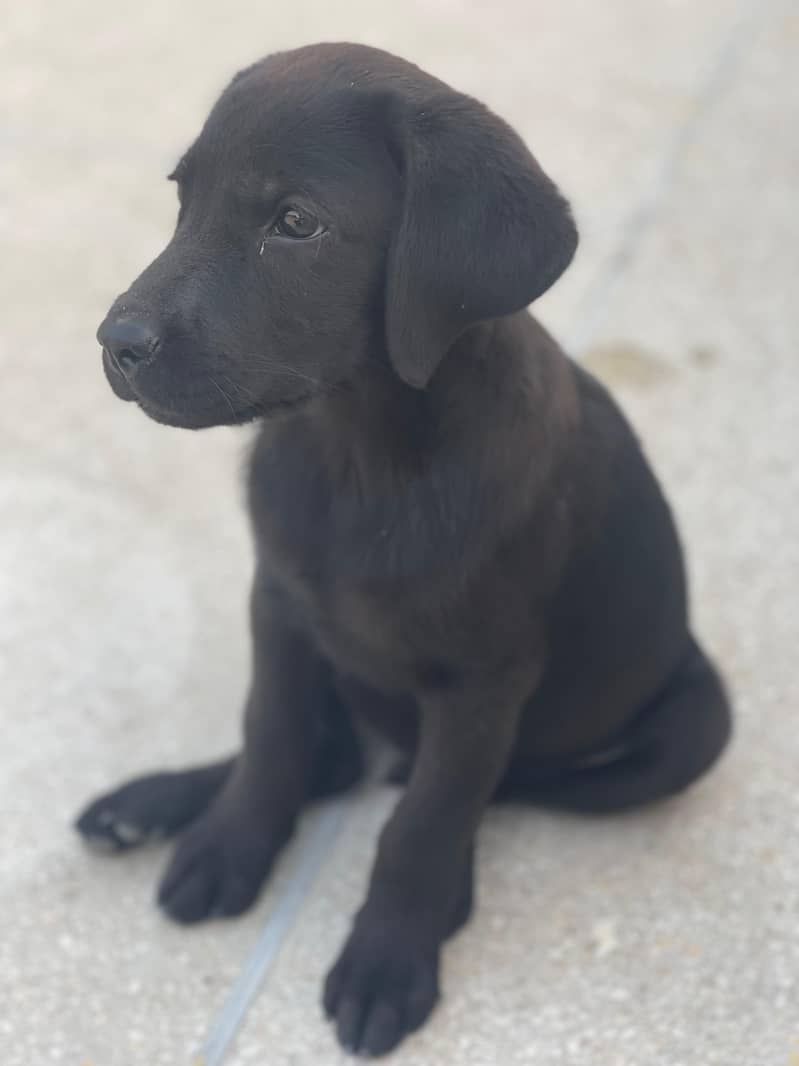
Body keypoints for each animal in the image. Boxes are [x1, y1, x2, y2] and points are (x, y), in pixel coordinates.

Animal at [78, 41, 737, 1057]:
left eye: (296, 223)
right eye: (182, 197)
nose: (117, 343)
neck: (360, 459)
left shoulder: (482, 683)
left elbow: (424, 820)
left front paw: (388, 958)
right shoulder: (279, 604)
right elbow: (269, 733)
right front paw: (228, 845)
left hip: (692, 727)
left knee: (473, 785)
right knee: (336, 755)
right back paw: (148, 806)